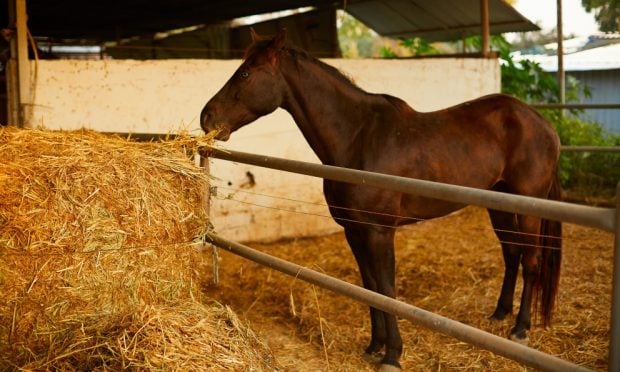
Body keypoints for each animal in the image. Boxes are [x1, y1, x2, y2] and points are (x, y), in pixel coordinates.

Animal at [201, 29, 564, 370]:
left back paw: (521, 328)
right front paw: (374, 346)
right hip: (498, 203)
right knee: (512, 253)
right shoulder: (354, 230)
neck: (358, 138)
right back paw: (499, 314)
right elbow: (370, 286)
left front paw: (392, 354)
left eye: (246, 73)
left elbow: (387, 289)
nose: (207, 117)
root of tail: (542, 123)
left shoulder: (379, 232)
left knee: (531, 261)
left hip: (527, 205)